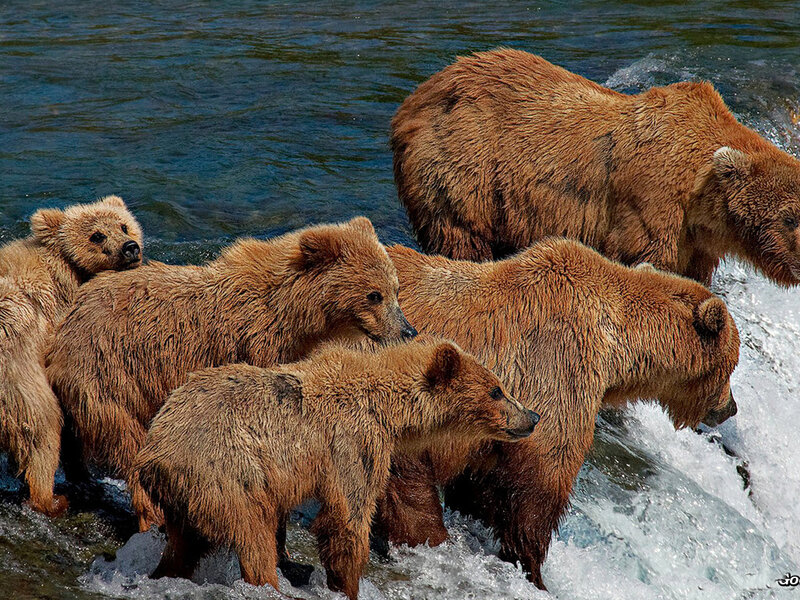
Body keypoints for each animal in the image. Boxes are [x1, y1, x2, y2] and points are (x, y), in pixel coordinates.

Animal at [0, 195, 142, 517]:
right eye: (97, 235)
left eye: (124, 225)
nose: (130, 247)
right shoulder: (58, 321)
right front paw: (83, 474)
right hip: (17, 374)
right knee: (42, 427)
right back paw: (51, 499)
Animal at [45, 216, 417, 532]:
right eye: (374, 295)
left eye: (396, 289)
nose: (408, 331)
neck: (293, 313)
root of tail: (68, 320)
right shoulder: (256, 345)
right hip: (112, 369)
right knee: (126, 437)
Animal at [132, 337, 539, 600]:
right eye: (497, 390)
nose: (532, 416)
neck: (389, 406)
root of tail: (152, 453)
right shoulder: (352, 441)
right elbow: (348, 517)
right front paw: (347, 584)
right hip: (226, 475)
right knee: (254, 536)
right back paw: (269, 582)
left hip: (187, 497)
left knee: (183, 546)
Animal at [373, 240, 740, 590]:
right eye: (731, 366)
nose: (731, 408)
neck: (616, 347)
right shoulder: (557, 369)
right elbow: (539, 483)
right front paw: (533, 569)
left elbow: (482, 486)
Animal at [391, 48, 800, 286]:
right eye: (790, 218)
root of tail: (413, 101)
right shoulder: (652, 207)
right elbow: (642, 260)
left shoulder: (696, 242)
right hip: (465, 169)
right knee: (461, 236)